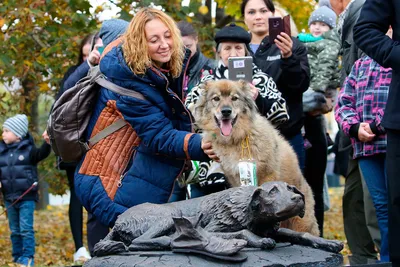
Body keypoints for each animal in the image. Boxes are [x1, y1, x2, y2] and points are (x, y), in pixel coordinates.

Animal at [194, 79, 318, 237]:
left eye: (234, 98)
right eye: (216, 99)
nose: (226, 111)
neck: (236, 138)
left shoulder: (267, 175)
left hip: (301, 223)